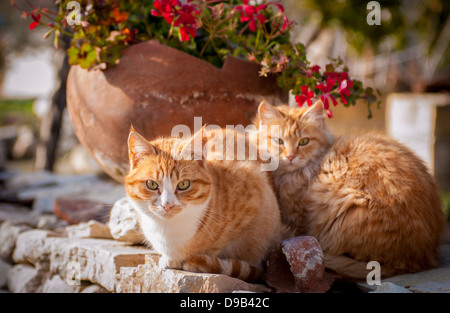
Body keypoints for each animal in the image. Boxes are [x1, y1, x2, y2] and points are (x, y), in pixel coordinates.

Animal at [125, 125, 284, 282]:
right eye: (151, 184)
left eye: (183, 184)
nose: (167, 205)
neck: (168, 229)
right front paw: (171, 259)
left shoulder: (256, 195)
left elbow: (217, 245)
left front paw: (196, 262)